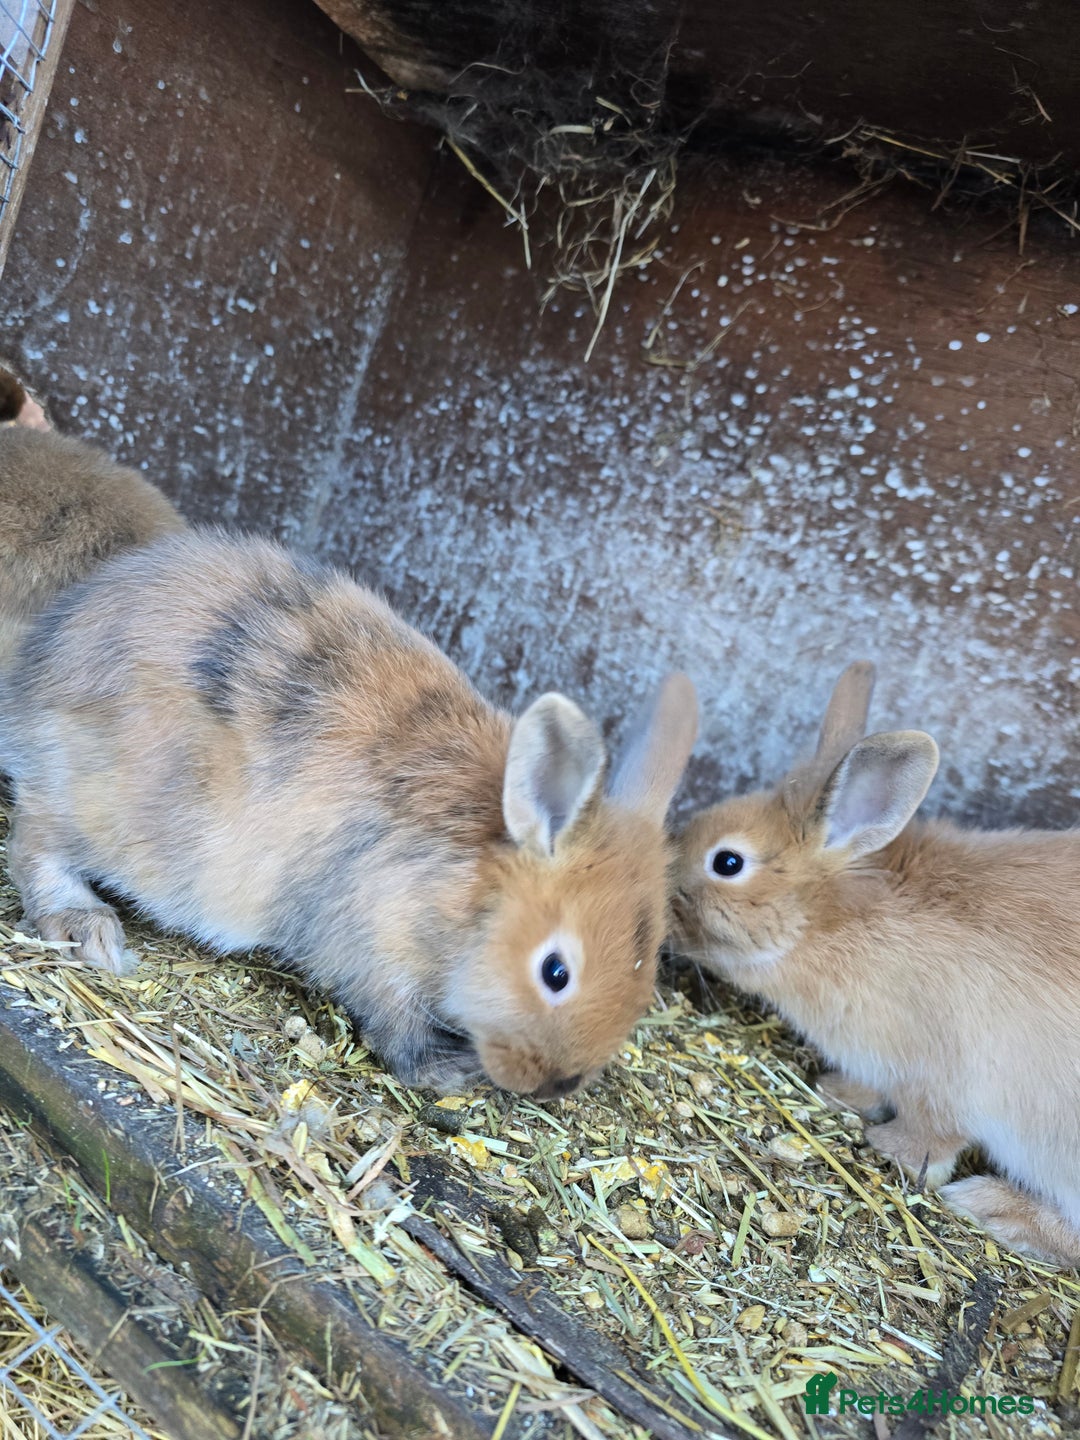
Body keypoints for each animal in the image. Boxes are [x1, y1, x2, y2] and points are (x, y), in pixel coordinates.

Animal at [0, 528, 698, 1098]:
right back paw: (88, 929)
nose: (560, 1084)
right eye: (556, 972)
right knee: (32, 839)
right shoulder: (370, 943)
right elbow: (393, 1022)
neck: (472, 891)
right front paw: (447, 1073)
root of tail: (36, 674)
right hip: (108, 810)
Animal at [670, 660, 1080, 1266]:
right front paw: (836, 1092)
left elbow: (932, 1135)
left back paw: (992, 1206)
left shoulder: (943, 1081)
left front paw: (890, 1149)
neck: (824, 925)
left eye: (727, 862)